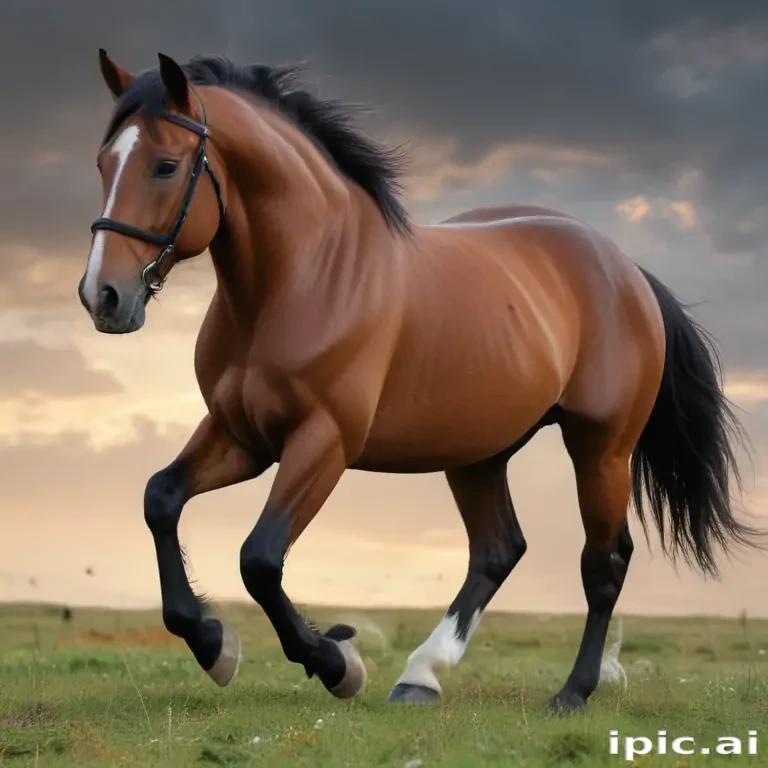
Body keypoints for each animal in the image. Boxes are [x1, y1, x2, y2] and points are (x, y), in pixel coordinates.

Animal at [78, 50, 761, 712]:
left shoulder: (323, 442)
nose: (102, 296)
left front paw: (335, 662)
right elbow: (161, 499)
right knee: (498, 550)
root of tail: (625, 269)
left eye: (166, 166)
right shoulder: (241, 436)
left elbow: (260, 560)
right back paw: (421, 676)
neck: (302, 280)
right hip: (479, 454)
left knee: (604, 562)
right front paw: (212, 641)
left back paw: (571, 693)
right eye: (103, 162)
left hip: (601, 448)